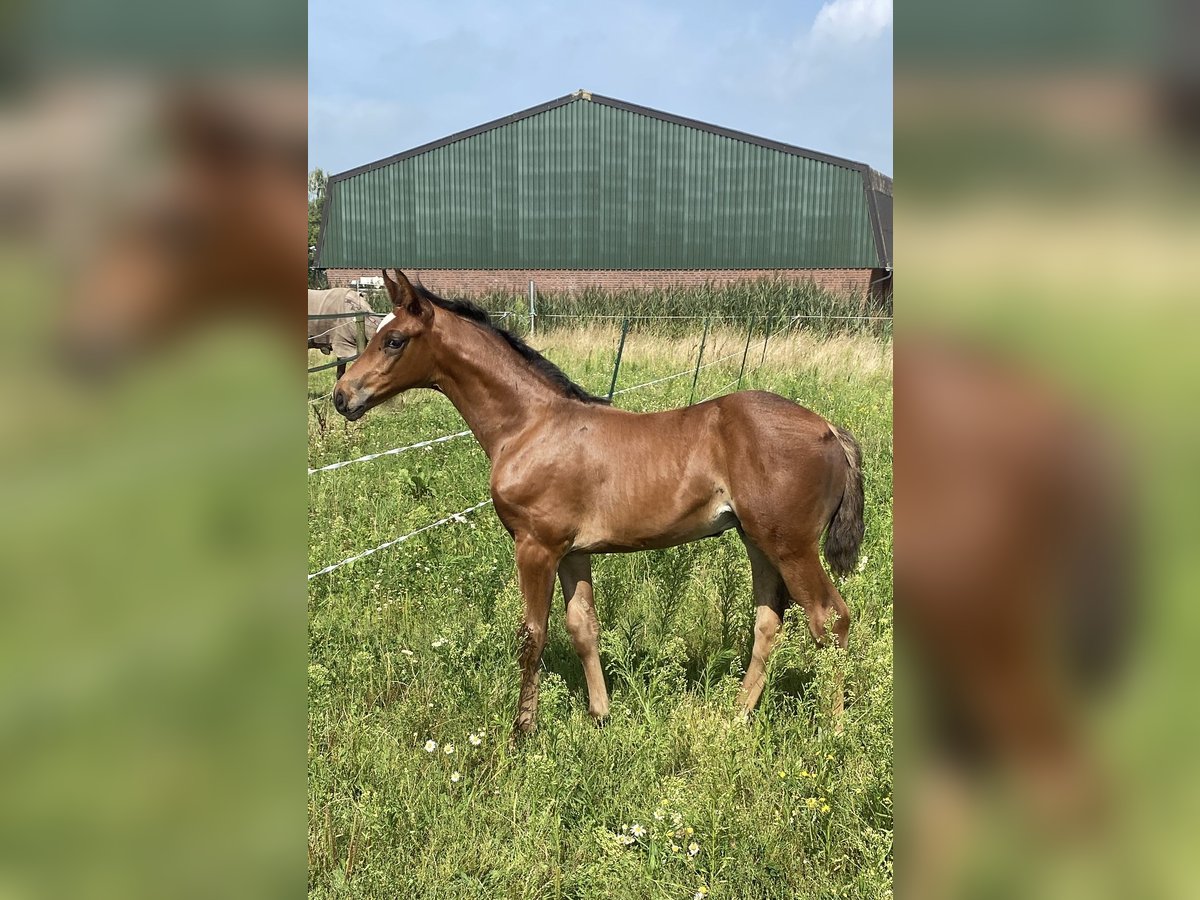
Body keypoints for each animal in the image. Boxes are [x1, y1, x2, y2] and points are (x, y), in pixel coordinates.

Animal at [338, 271, 864, 734]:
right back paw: (735, 718)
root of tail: (828, 428)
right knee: (769, 623)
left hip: (792, 545)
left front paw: (522, 730)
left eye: (393, 340)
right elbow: (583, 628)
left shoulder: (536, 546)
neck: (530, 425)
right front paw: (600, 715)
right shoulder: (572, 552)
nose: (342, 396)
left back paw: (834, 731)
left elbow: (533, 635)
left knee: (831, 620)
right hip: (758, 541)